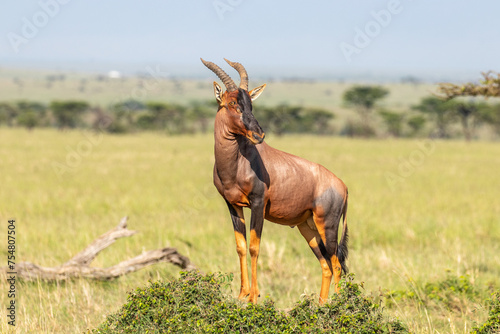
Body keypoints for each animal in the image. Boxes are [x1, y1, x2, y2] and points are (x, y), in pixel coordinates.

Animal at [199, 58, 348, 304]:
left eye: (250, 103)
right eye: (232, 102)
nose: (259, 135)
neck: (239, 161)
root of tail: (343, 187)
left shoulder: (258, 203)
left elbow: (254, 247)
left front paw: (254, 296)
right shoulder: (232, 205)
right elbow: (241, 246)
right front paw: (242, 294)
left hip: (328, 225)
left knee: (336, 264)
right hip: (307, 228)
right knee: (326, 264)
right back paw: (322, 304)